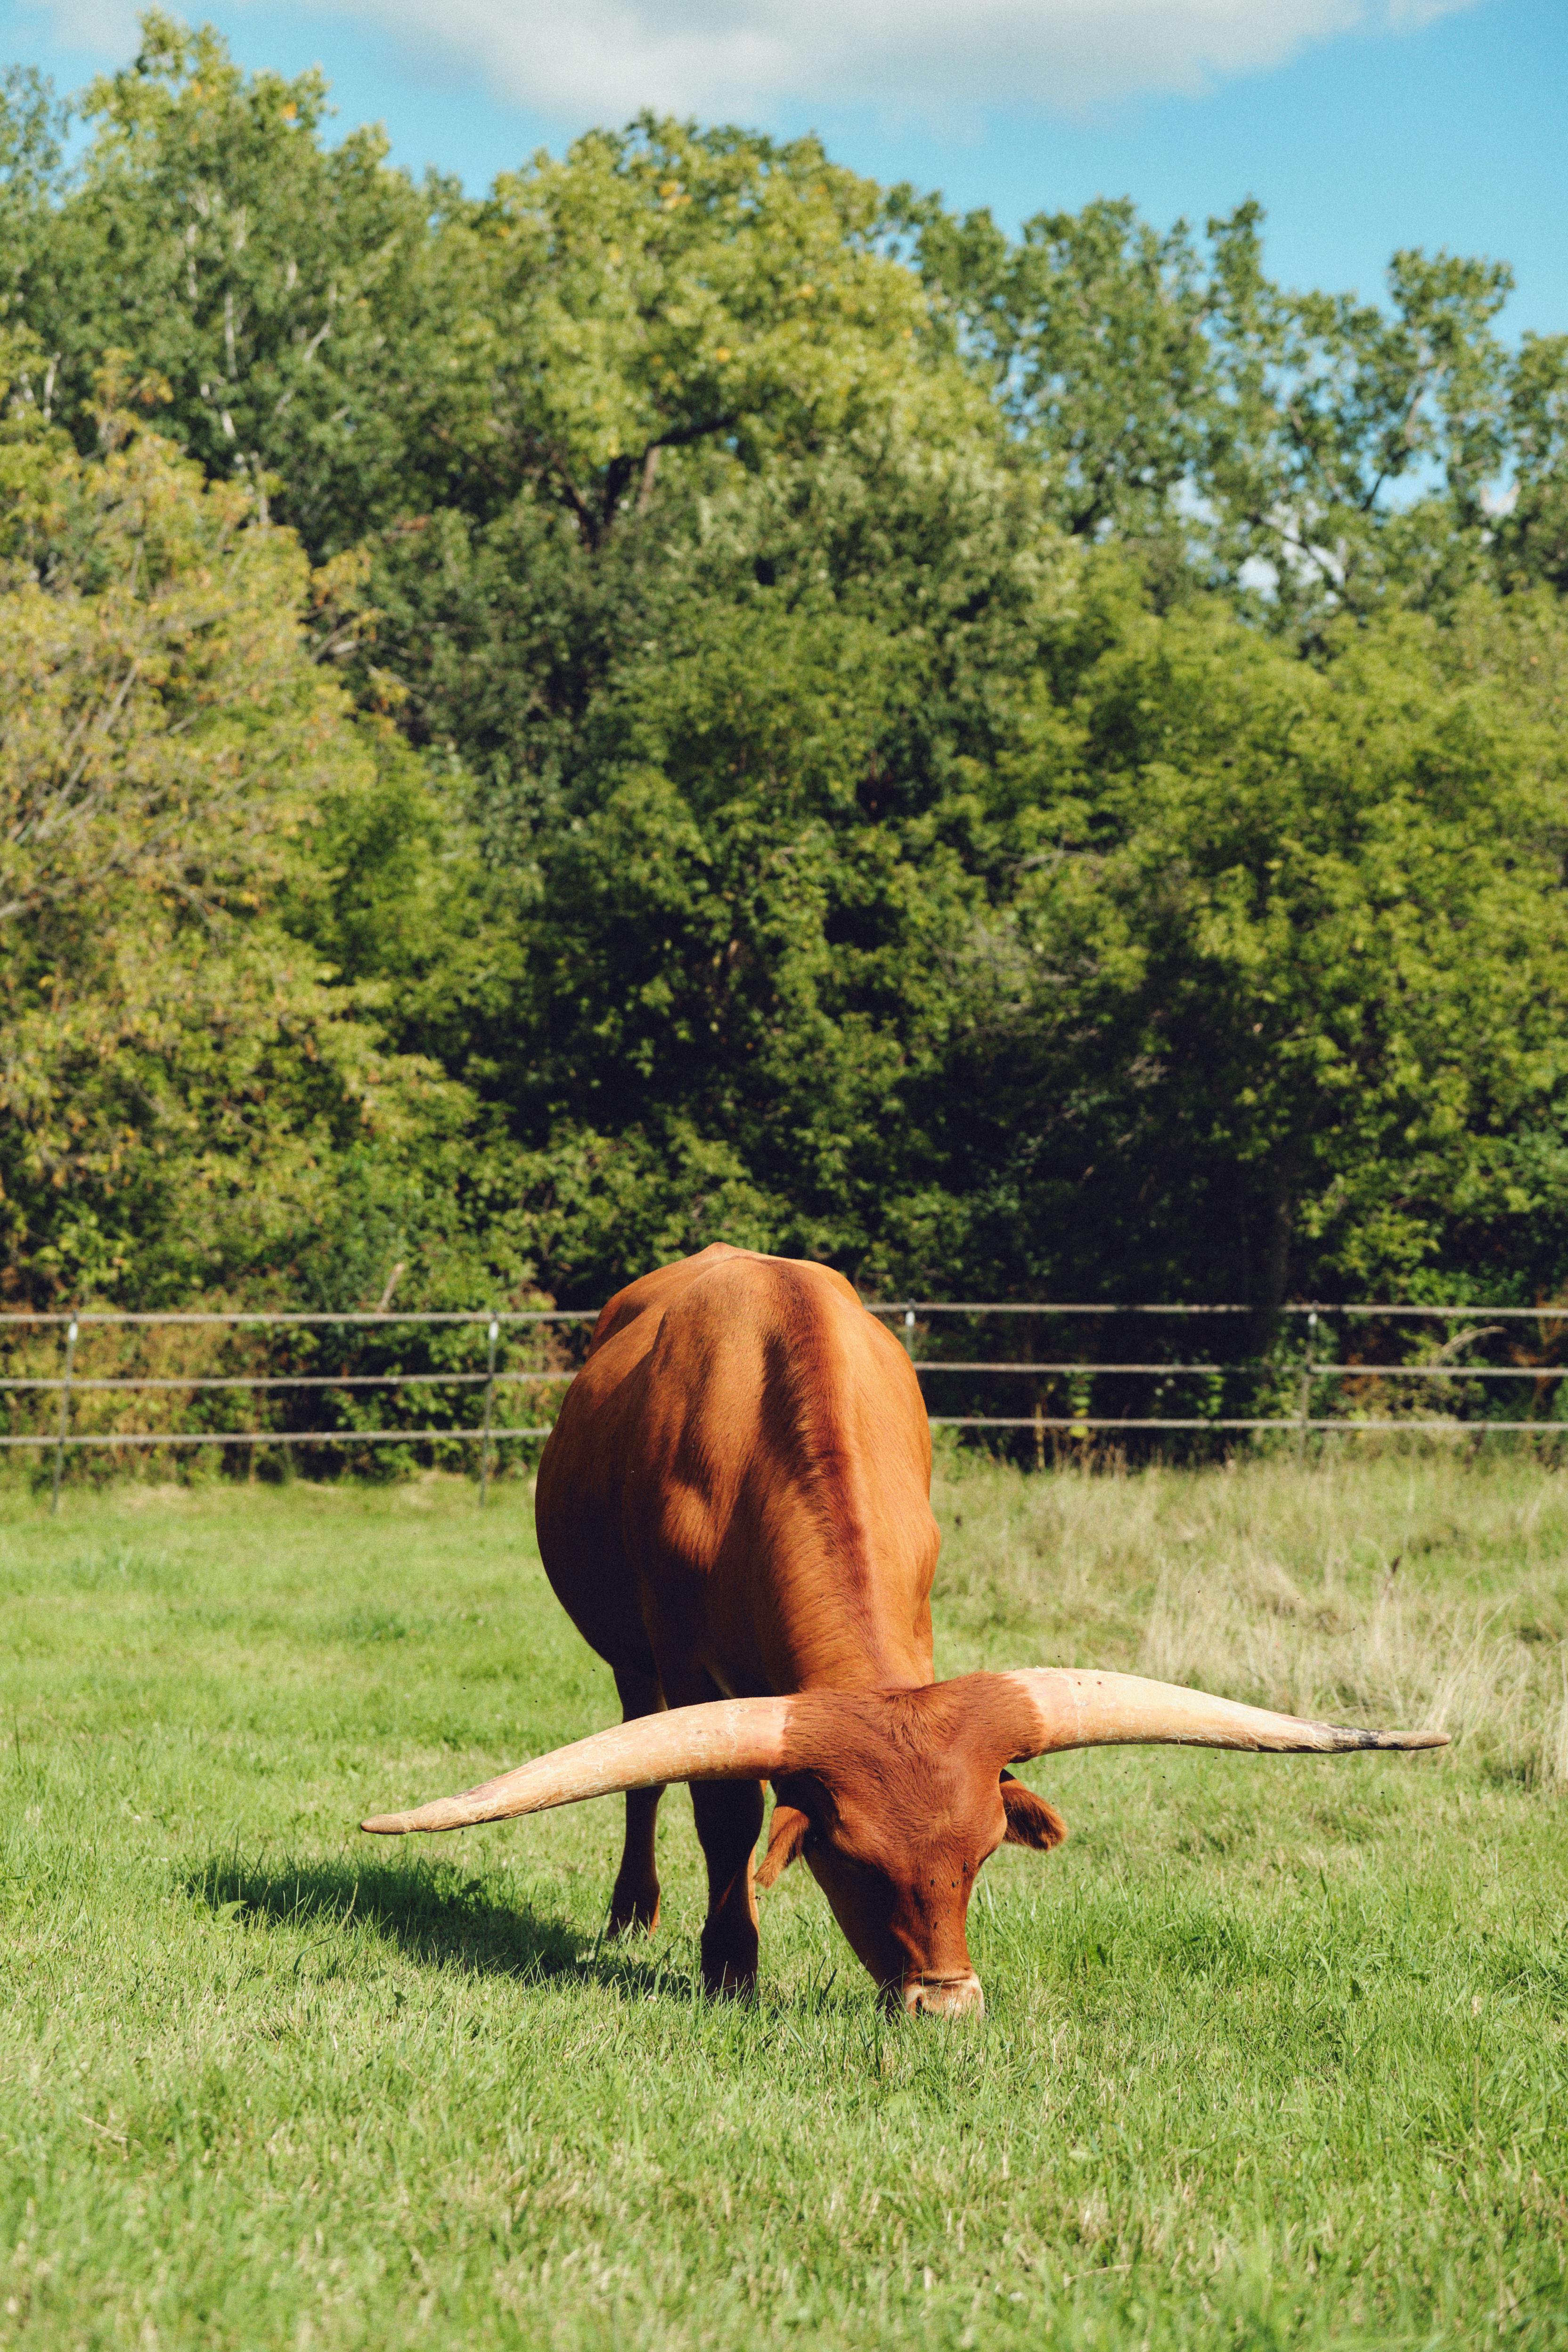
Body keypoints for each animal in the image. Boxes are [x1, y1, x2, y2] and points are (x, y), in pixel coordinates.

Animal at [364, 1246, 1442, 2015]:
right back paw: (635, 1910)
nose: (946, 2009)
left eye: (981, 1857)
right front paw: (729, 1962)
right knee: (644, 1770)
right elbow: (724, 1813)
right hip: (633, 1660)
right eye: (852, 1864)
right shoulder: (685, 1661)